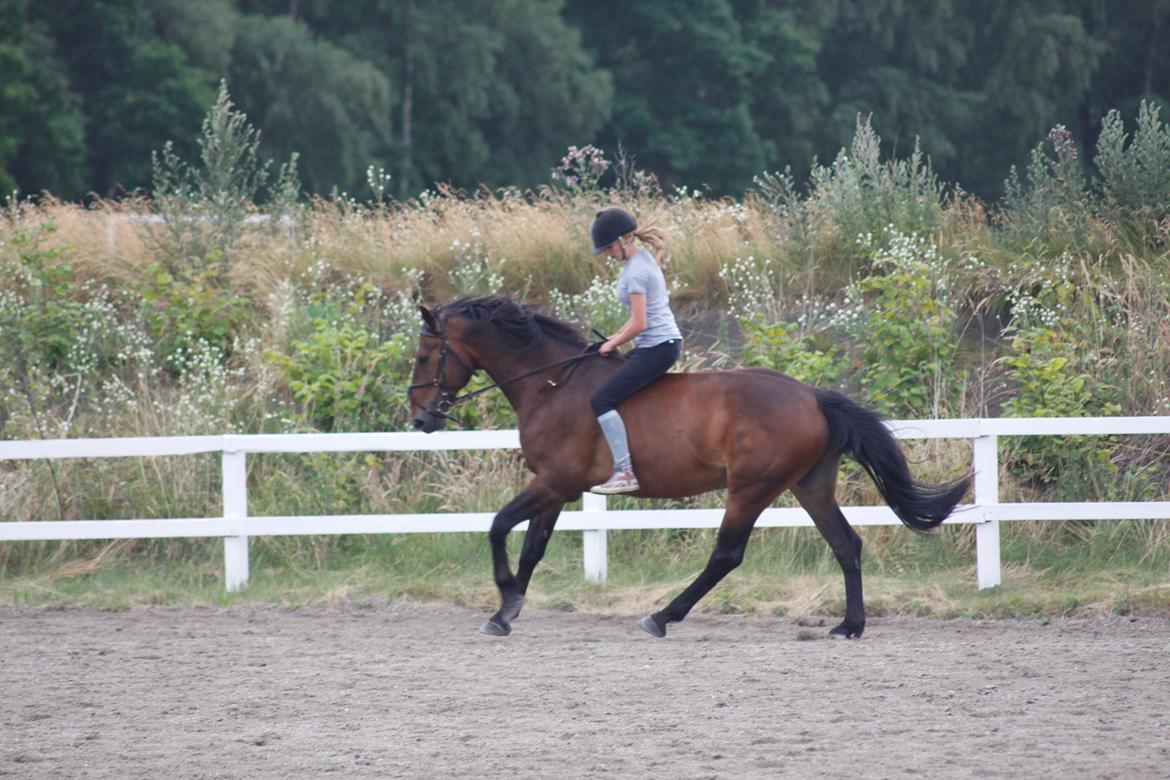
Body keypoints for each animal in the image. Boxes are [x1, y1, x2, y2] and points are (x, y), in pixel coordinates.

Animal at [407, 295, 973, 636]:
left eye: (423, 356)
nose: (420, 417)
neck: (550, 383)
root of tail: (813, 396)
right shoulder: (557, 487)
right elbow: (531, 547)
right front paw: (507, 611)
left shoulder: (554, 482)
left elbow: (499, 526)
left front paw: (503, 599)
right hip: (810, 486)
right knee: (846, 544)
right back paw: (849, 625)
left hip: (749, 488)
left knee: (726, 555)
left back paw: (663, 615)